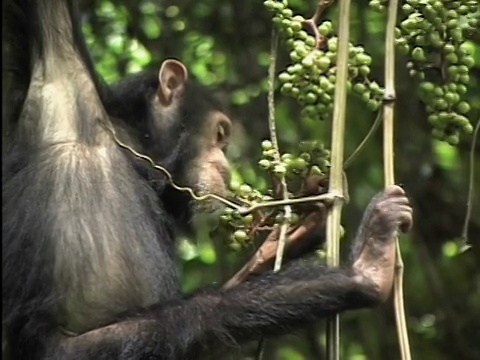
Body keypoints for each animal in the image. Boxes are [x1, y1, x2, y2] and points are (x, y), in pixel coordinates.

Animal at [0, 0, 412, 360]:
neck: (135, 147)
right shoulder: (61, 77)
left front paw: (292, 233)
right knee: (200, 317)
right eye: (220, 135)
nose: (226, 167)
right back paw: (367, 268)